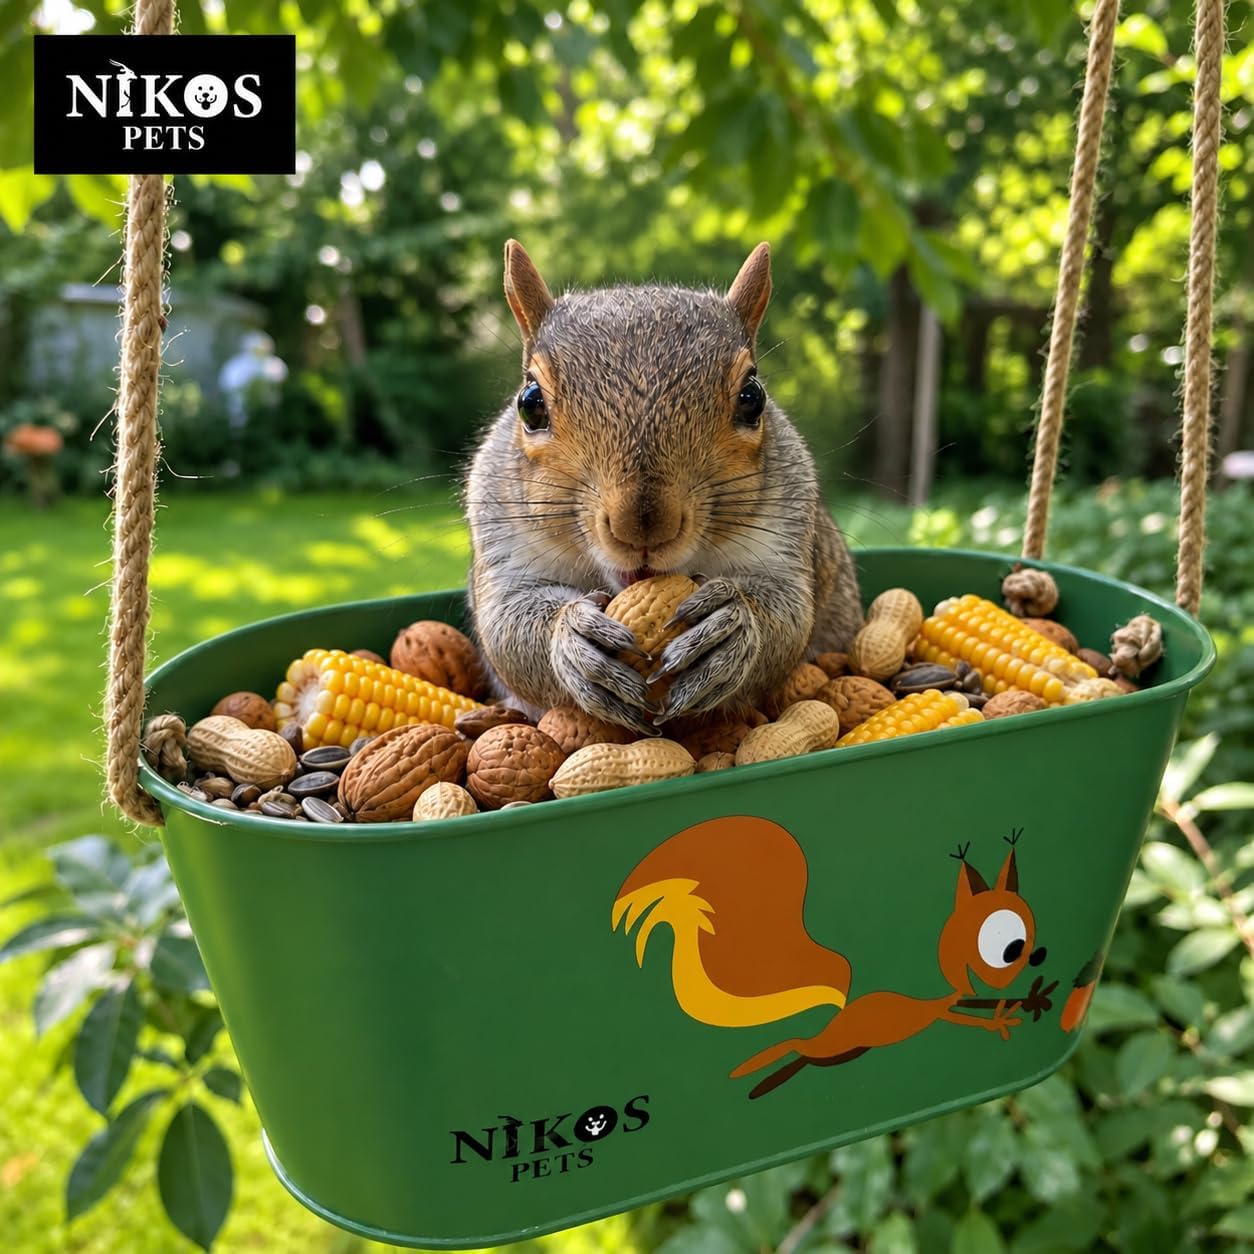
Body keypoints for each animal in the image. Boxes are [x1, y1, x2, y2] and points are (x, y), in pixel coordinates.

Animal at [464, 241, 864, 734]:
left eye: (753, 398)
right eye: (530, 404)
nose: (642, 527)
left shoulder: (786, 529)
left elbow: (787, 617)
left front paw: (732, 626)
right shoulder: (502, 538)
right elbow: (507, 630)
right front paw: (572, 639)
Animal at [612, 818, 1055, 1099]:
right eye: (1009, 947)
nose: (1038, 955)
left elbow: (973, 1005)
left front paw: (1020, 1004)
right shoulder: (941, 1007)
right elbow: (969, 1012)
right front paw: (1001, 1016)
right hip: (837, 1042)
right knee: (798, 1047)